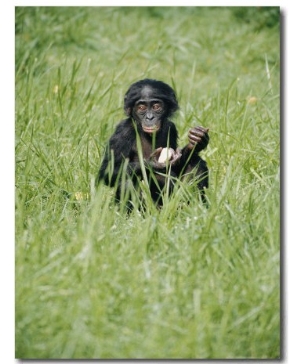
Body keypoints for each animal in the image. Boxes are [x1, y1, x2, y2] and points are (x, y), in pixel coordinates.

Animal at [97, 79, 210, 210]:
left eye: (156, 106)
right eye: (141, 107)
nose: (149, 117)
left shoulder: (171, 128)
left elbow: (177, 164)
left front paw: (196, 141)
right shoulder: (122, 133)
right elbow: (108, 170)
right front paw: (152, 163)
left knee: (197, 163)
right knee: (125, 179)